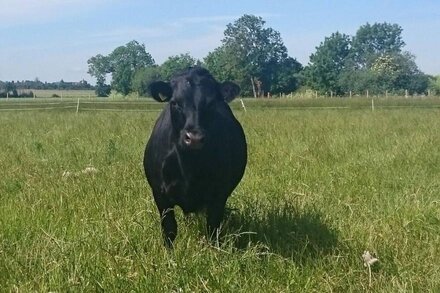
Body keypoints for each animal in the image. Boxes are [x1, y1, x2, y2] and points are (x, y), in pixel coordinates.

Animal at [144, 66, 248, 246]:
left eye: (212, 103)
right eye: (175, 103)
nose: (194, 138)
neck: (189, 165)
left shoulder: (219, 194)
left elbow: (213, 228)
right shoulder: (160, 194)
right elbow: (169, 228)